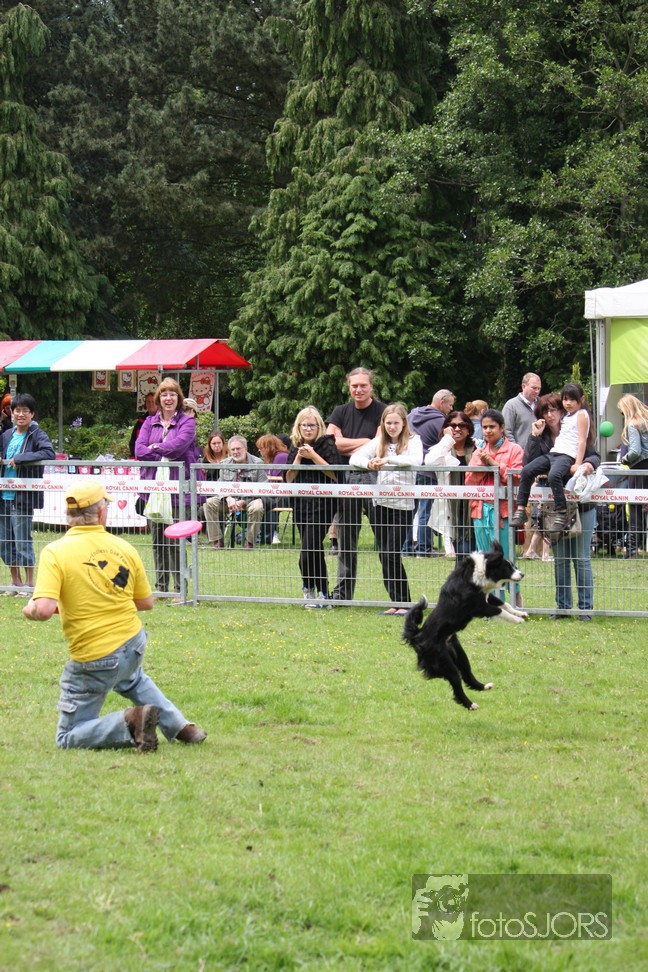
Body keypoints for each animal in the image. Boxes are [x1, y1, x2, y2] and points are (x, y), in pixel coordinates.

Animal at [402, 541, 527, 710]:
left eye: (512, 565)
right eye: (507, 567)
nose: (522, 574)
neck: (478, 572)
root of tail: (417, 635)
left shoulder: (486, 597)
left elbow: (504, 604)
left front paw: (521, 613)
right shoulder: (478, 606)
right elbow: (500, 610)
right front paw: (517, 620)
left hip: (459, 654)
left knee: (467, 673)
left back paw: (483, 686)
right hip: (443, 660)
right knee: (456, 681)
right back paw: (470, 704)